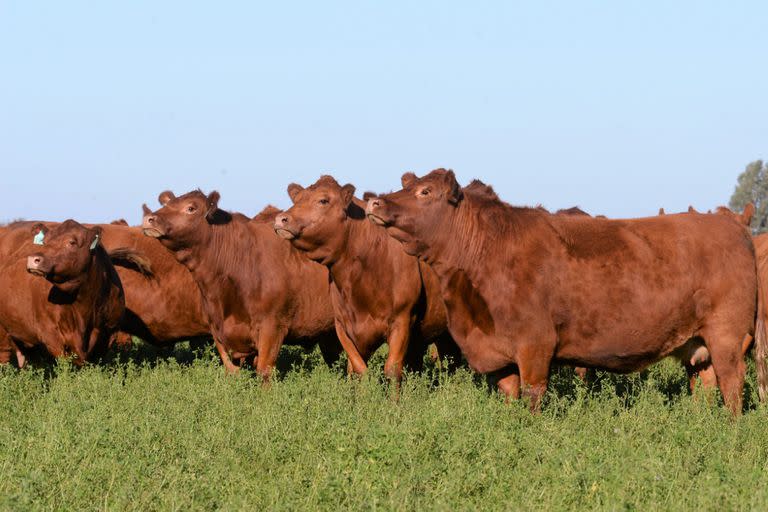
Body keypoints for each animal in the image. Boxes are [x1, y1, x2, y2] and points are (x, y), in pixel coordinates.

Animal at [141, 190, 340, 378]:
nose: (149, 219)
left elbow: (264, 372)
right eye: (166, 204)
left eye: (191, 208)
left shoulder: (272, 327)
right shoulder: (217, 330)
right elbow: (231, 371)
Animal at [272, 176, 460, 380]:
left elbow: (392, 369)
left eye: (323, 200)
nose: (281, 219)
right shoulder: (343, 325)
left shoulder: (402, 320)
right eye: (297, 199)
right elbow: (357, 369)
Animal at [366, 170, 760, 414]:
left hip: (727, 336)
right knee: (707, 387)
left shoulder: (535, 347)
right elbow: (510, 398)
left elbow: (532, 398)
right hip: (698, 344)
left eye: (425, 191)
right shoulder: (501, 359)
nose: (374, 201)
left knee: (733, 386)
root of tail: (731, 224)